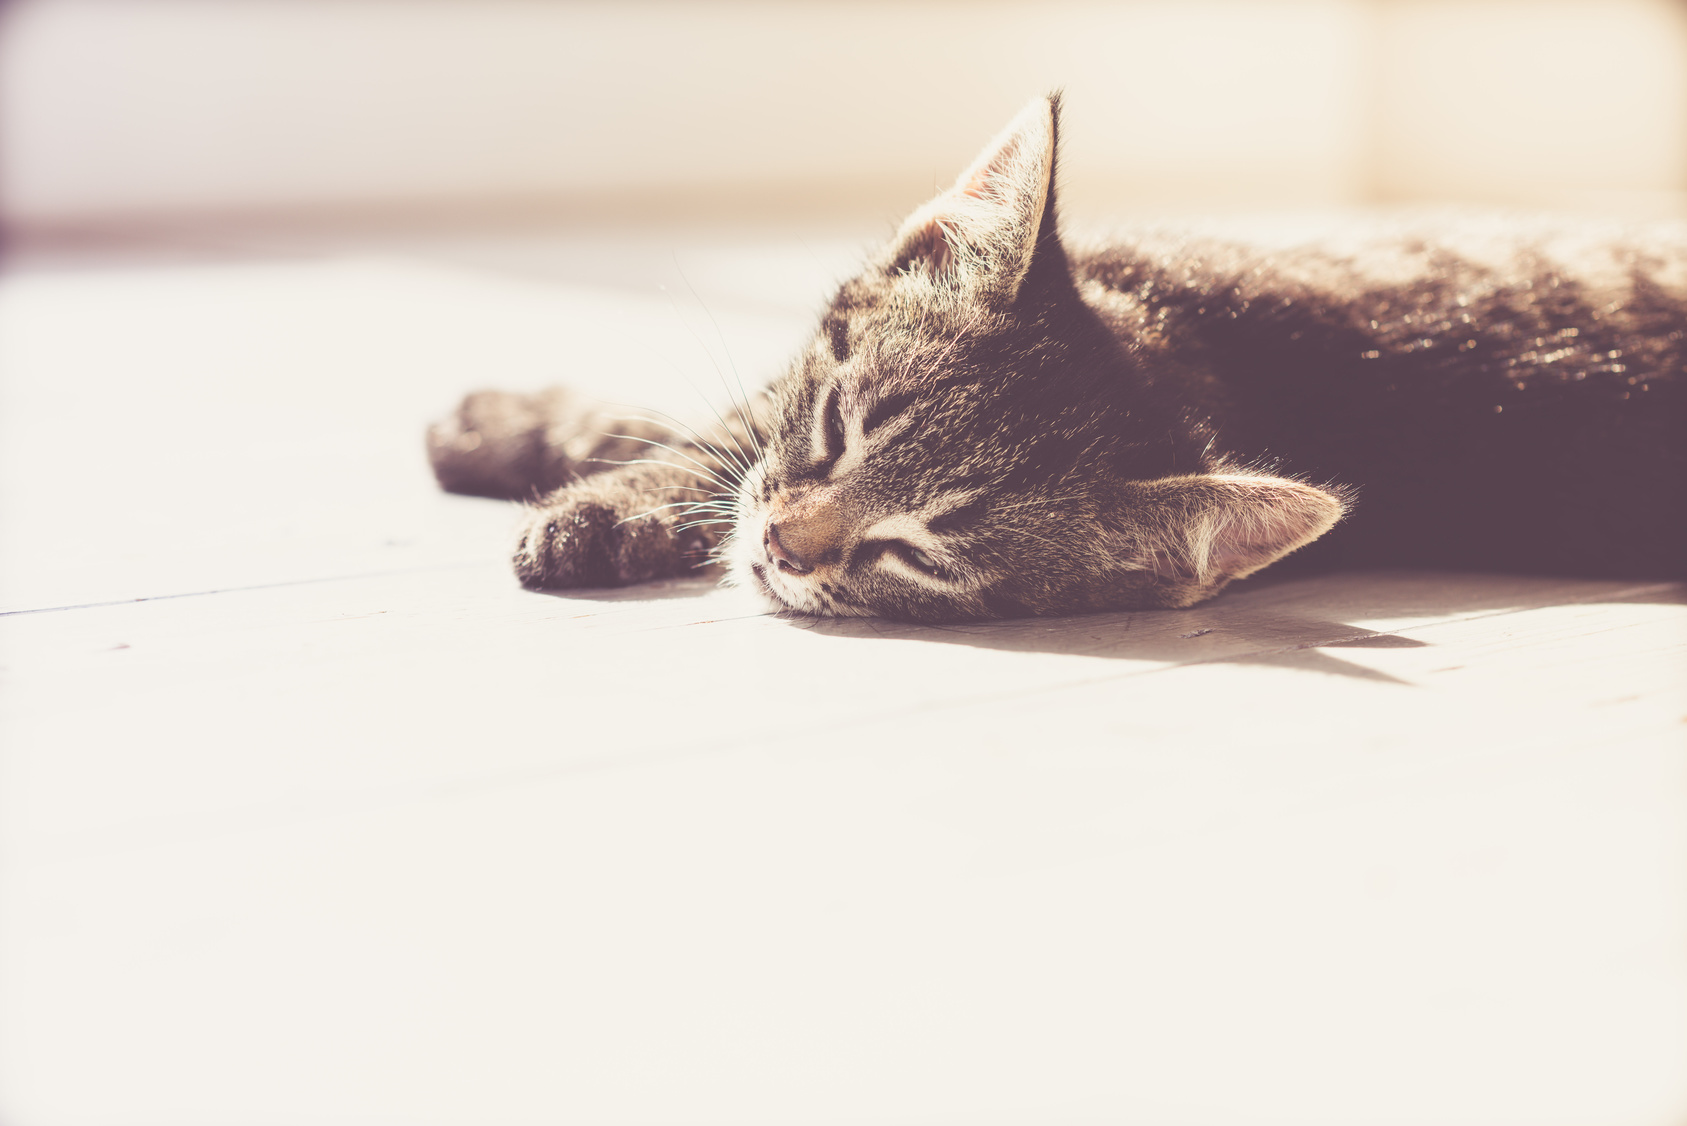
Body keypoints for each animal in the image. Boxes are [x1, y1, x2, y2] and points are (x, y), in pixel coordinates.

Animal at [431, 97, 1687, 624]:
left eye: (916, 554)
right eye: (837, 428)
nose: (785, 546)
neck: (1197, 346)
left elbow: (706, 446)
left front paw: (589, 494)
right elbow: (723, 430)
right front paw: (528, 437)